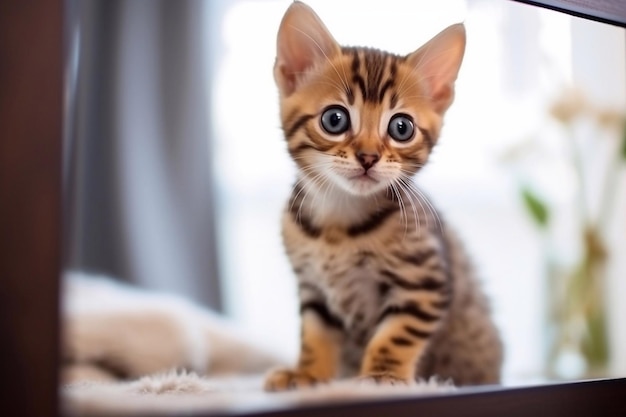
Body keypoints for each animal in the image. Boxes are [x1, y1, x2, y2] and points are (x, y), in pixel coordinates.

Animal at [264, 1, 502, 390]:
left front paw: (382, 377)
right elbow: (315, 335)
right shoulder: (313, 289)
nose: (368, 156)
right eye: (334, 119)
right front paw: (308, 374)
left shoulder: (423, 282)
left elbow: (397, 335)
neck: (338, 224)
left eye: (401, 128)